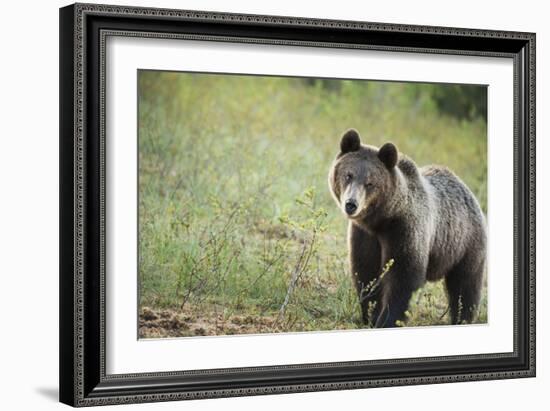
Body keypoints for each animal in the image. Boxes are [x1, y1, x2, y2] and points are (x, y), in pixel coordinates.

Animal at [328, 129, 488, 328]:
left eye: (370, 183)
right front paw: (370, 315)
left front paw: (387, 320)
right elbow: (366, 272)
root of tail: (468, 191)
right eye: (348, 175)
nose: (351, 204)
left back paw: (461, 318)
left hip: (465, 244)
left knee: (465, 286)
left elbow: (403, 277)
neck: (381, 220)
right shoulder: (364, 236)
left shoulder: (405, 229)